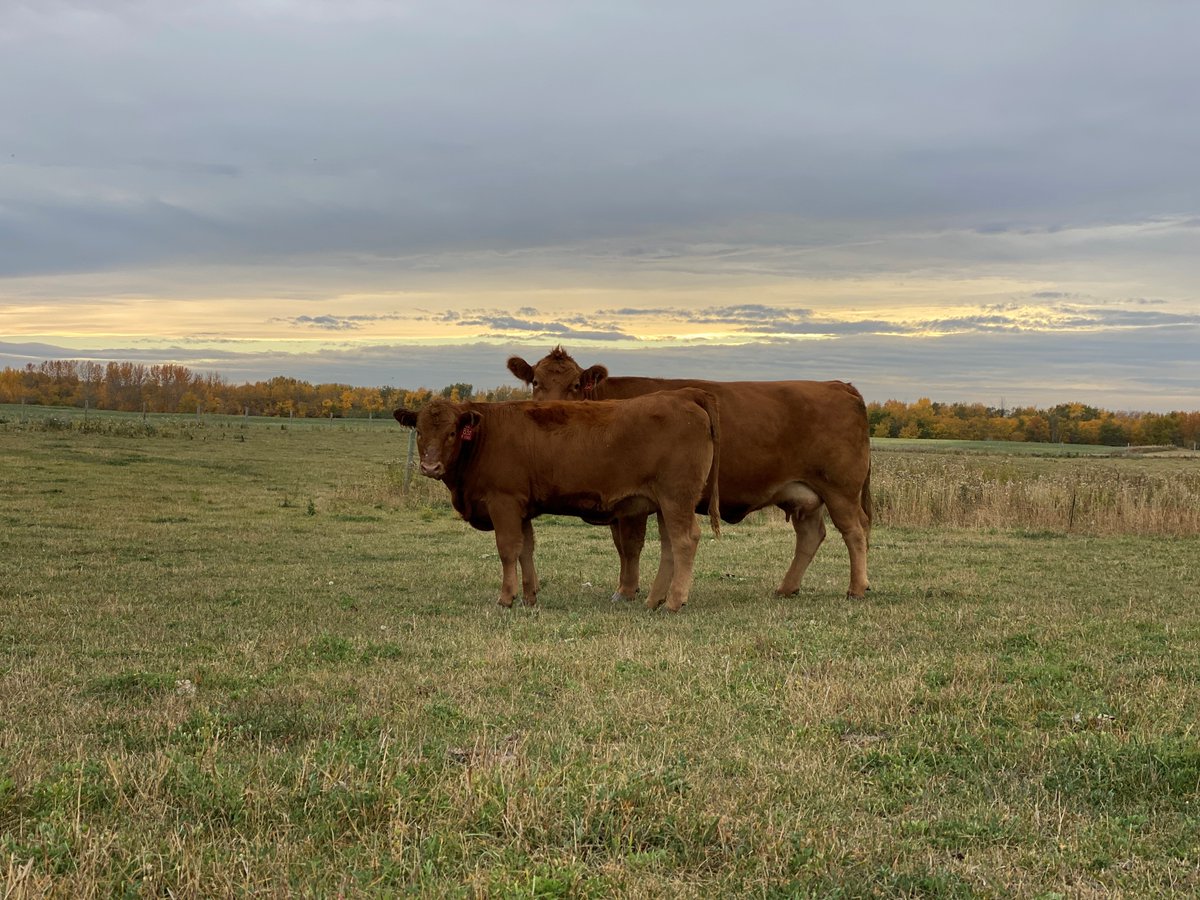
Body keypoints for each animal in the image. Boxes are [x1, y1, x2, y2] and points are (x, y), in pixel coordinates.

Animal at [393, 389, 721, 612]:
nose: (430, 467)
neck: (485, 435)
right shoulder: (522, 509)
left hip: (676, 498)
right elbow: (525, 549)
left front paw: (506, 597)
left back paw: (674, 601)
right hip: (665, 504)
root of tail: (683, 395)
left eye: (452, 432)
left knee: (684, 541)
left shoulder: (504, 502)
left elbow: (507, 550)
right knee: (669, 547)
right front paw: (529, 596)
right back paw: (654, 600)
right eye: (419, 432)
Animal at [507, 346, 872, 600]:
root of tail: (839, 385)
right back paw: (787, 588)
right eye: (536, 382)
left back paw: (856, 588)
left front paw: (626, 591)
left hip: (841, 488)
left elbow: (631, 545)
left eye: (575, 385)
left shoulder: (630, 500)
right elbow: (621, 546)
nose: (550, 410)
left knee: (854, 531)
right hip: (804, 494)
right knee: (811, 535)